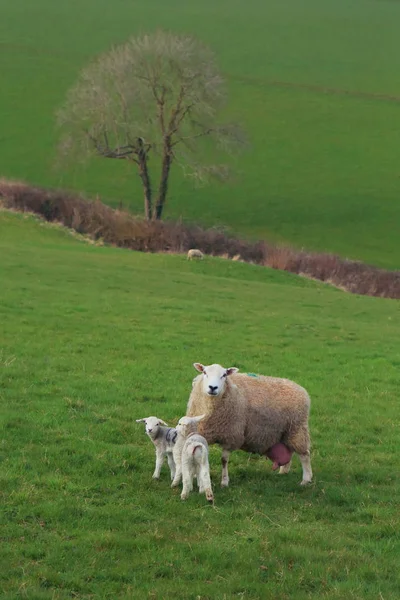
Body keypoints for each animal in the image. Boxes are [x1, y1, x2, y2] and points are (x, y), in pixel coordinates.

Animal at [186, 364, 314, 490]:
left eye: (224, 375)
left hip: (297, 429)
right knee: (289, 451)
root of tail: (302, 390)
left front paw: (224, 482)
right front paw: (196, 477)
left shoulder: (231, 436)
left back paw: (306, 480)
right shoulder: (203, 434)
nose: (213, 387)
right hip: (287, 433)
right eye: (204, 372)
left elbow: (224, 460)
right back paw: (283, 471)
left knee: (305, 455)